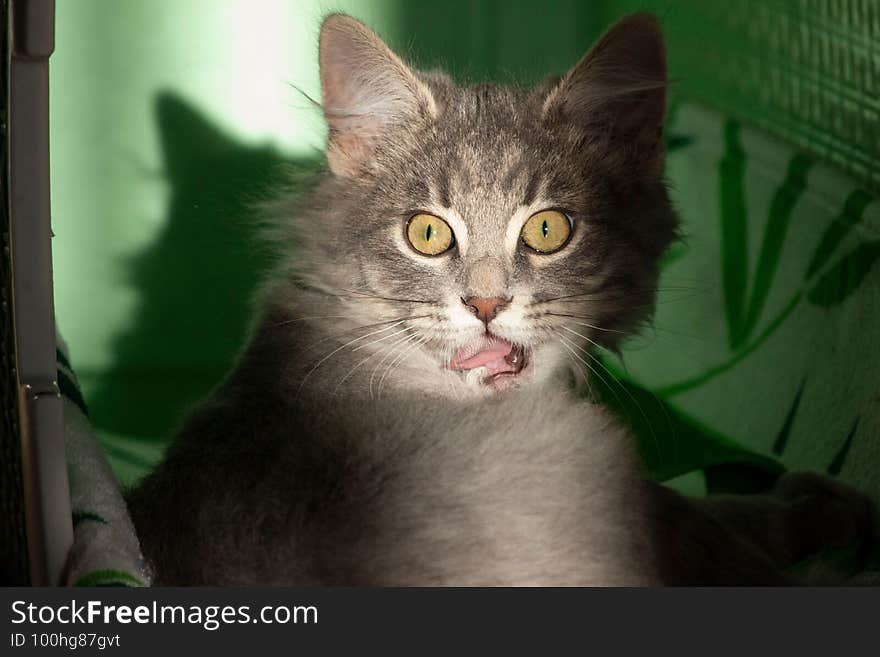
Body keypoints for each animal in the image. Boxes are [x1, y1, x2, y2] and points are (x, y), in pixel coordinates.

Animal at [127, 12, 876, 580]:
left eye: (548, 229)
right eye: (427, 233)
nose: (486, 306)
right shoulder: (635, 501)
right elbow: (732, 521)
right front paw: (823, 502)